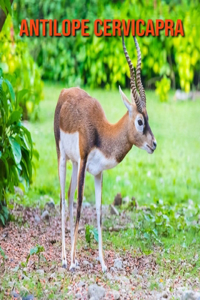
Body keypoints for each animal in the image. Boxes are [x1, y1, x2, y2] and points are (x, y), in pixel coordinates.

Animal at [54, 33, 156, 272]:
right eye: (140, 121)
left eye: (149, 119)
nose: (154, 144)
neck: (102, 132)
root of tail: (65, 92)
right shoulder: (84, 162)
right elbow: (81, 207)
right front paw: (72, 263)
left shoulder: (98, 173)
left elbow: (99, 213)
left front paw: (101, 263)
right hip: (63, 158)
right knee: (63, 199)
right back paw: (64, 259)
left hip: (74, 164)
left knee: (69, 197)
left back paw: (74, 257)